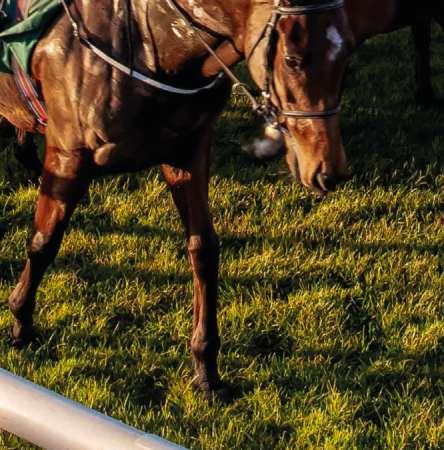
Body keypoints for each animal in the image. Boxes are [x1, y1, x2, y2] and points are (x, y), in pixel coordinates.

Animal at [2, 0, 354, 400]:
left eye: (347, 53)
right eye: (293, 60)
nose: (328, 170)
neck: (148, 45)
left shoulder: (188, 150)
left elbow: (203, 250)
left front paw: (206, 367)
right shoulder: (68, 156)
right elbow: (44, 243)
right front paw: (21, 322)